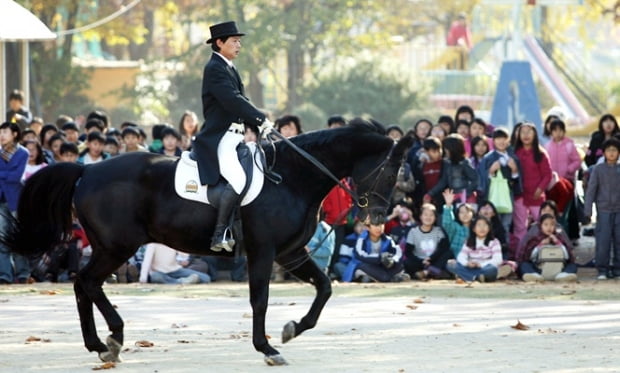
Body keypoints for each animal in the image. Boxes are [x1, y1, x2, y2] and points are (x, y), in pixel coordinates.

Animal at [2, 118, 414, 364]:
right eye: (390, 171)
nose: (378, 218)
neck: (292, 177)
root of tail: (86, 170)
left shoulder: (291, 253)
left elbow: (325, 287)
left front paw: (293, 328)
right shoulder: (264, 251)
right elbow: (260, 299)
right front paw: (267, 347)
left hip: (109, 247)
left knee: (83, 284)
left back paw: (100, 345)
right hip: (118, 247)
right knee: (87, 282)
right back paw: (112, 339)